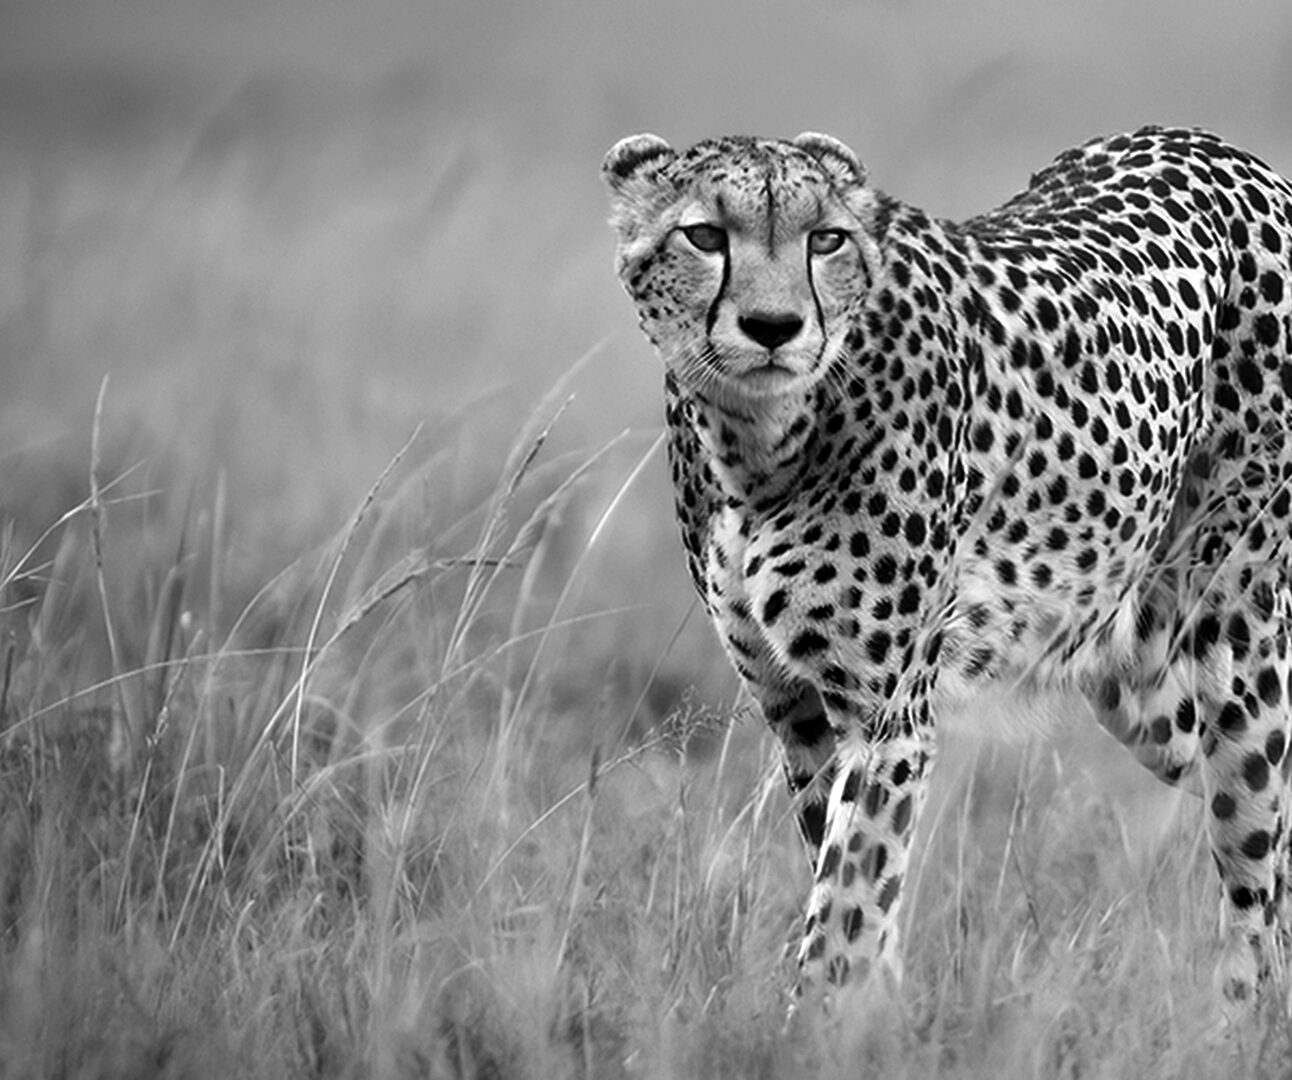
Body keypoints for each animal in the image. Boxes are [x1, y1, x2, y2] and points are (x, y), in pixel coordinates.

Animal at [601, 125, 1292, 1012]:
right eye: (704, 235)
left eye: (825, 239)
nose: (773, 325)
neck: (759, 445)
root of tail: (1205, 141)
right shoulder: (796, 711)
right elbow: (857, 884)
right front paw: (873, 1015)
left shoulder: (886, 715)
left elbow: (846, 903)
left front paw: (811, 1019)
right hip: (1139, 676)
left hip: (1236, 644)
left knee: (1254, 870)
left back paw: (1242, 1013)